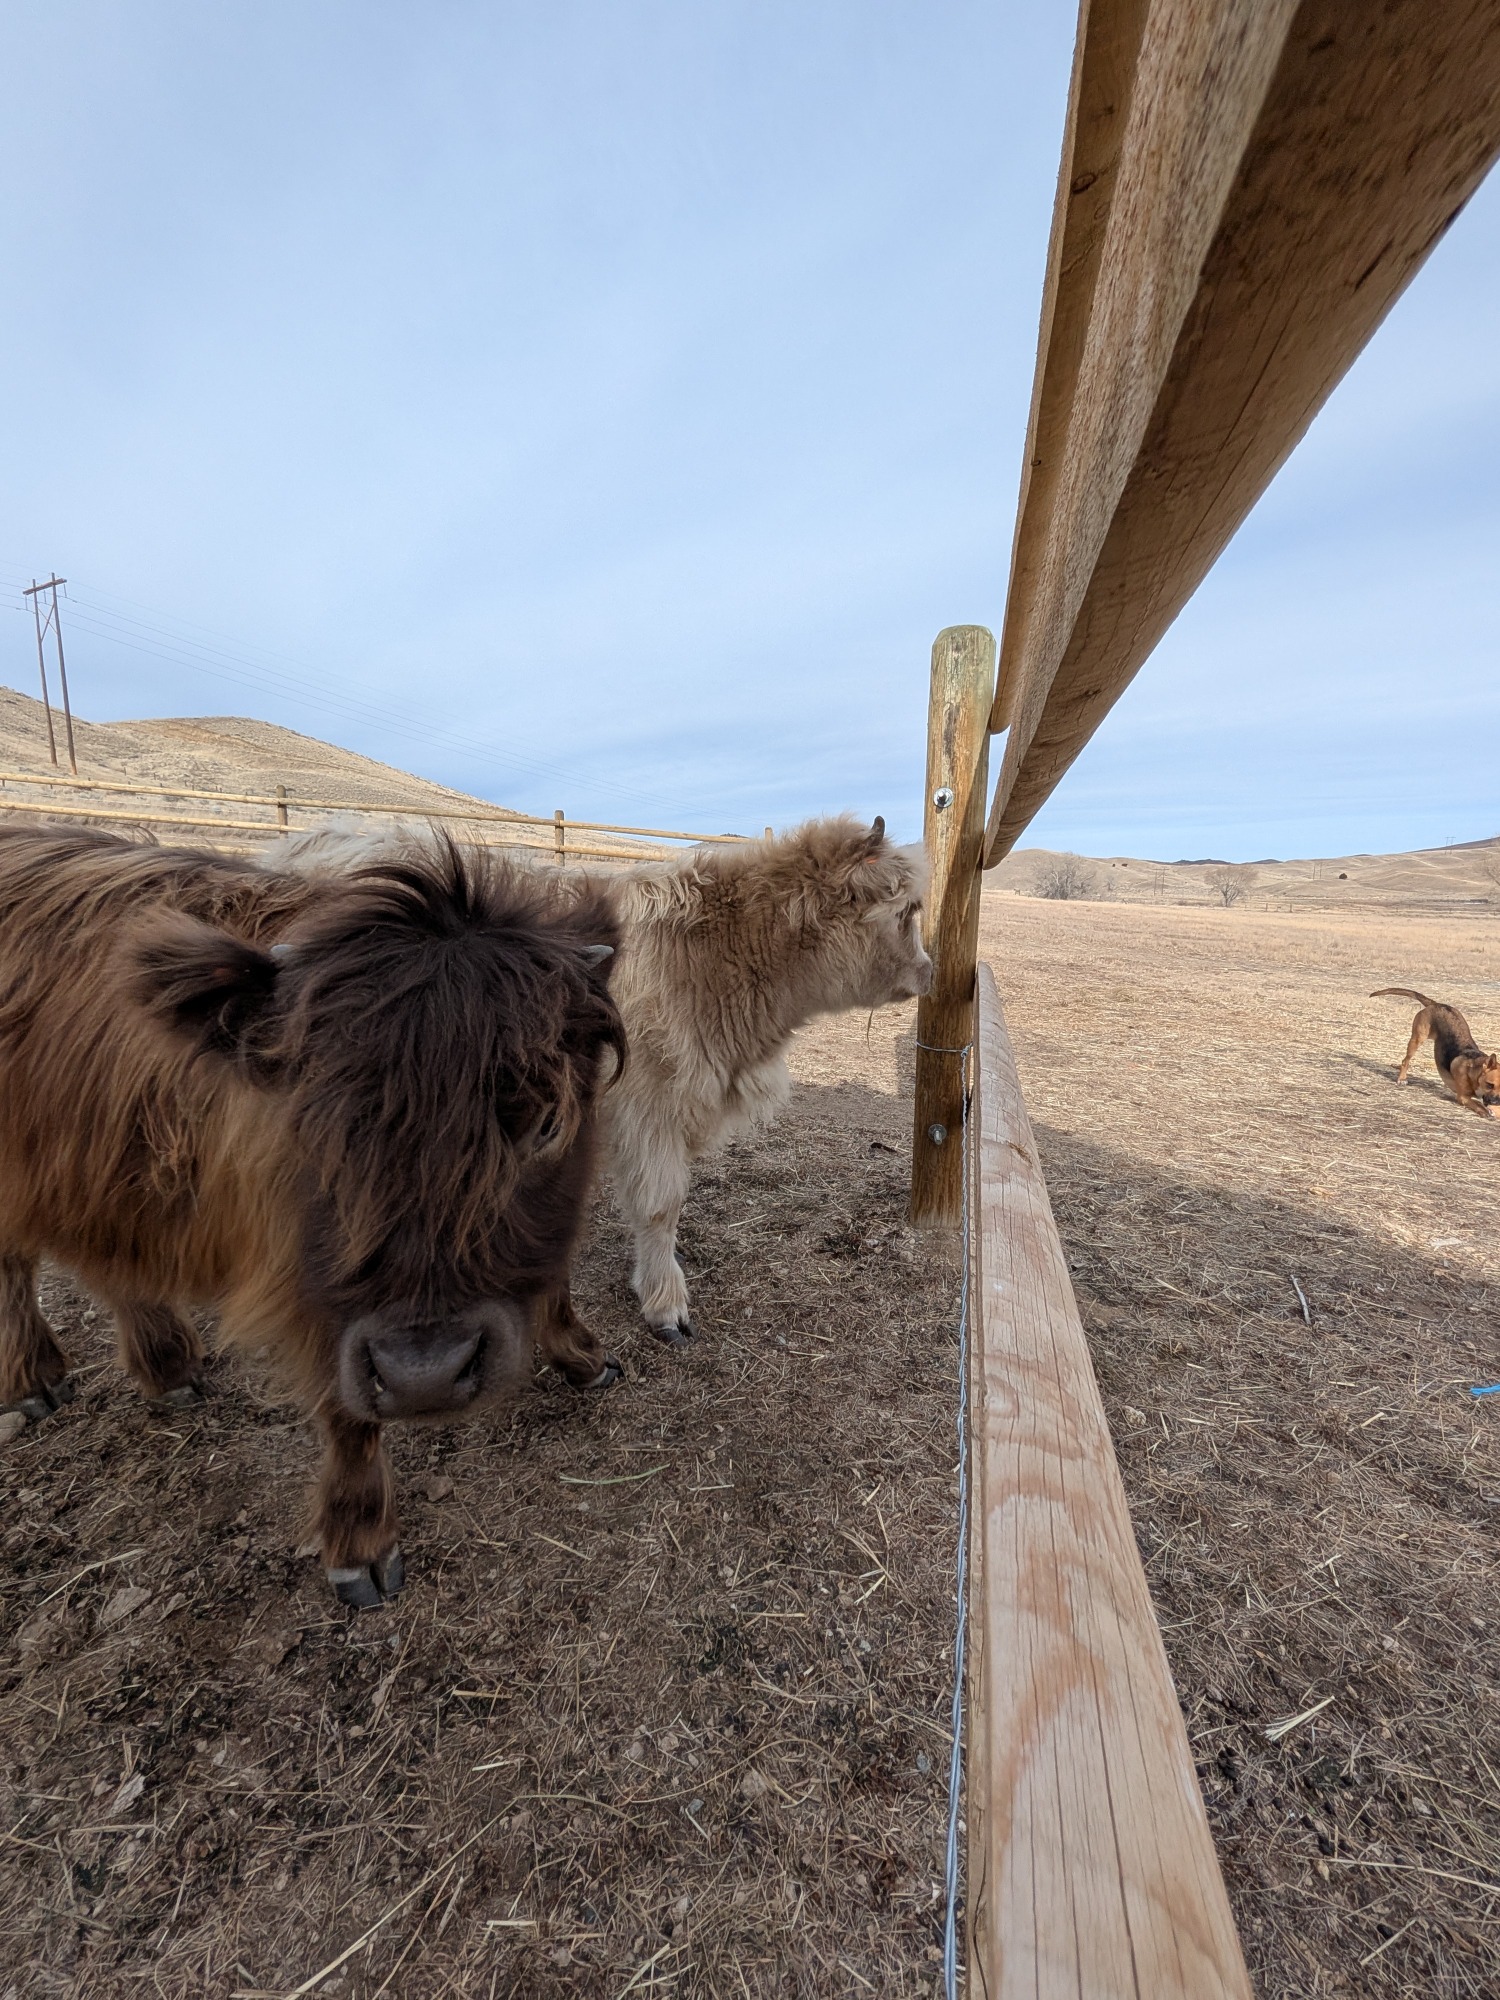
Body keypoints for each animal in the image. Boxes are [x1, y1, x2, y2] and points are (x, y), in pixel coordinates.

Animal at [0, 826, 624, 1605]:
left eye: (547, 1123)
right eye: (314, 1130)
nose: (426, 1375)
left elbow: (556, 1272)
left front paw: (583, 1357)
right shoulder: (310, 1285)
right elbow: (346, 1409)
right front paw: (361, 1545)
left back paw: (168, 1368)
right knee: (14, 1268)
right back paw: (32, 1383)